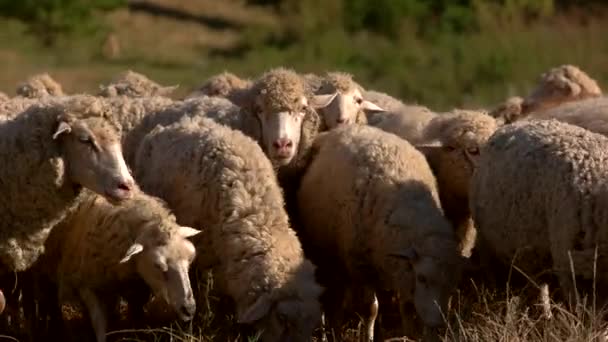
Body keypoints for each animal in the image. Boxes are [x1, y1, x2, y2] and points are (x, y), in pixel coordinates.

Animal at [33, 190, 201, 342]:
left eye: (191, 258)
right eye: (157, 265)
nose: (189, 309)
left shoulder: (131, 285)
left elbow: (135, 313)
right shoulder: (87, 285)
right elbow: (99, 324)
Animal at [296, 124, 464, 340]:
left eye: (452, 283)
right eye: (422, 278)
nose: (436, 323)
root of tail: (345, 127)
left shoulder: (403, 270)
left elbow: (407, 306)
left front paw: (409, 335)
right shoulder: (362, 268)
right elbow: (371, 309)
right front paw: (368, 337)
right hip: (327, 255)